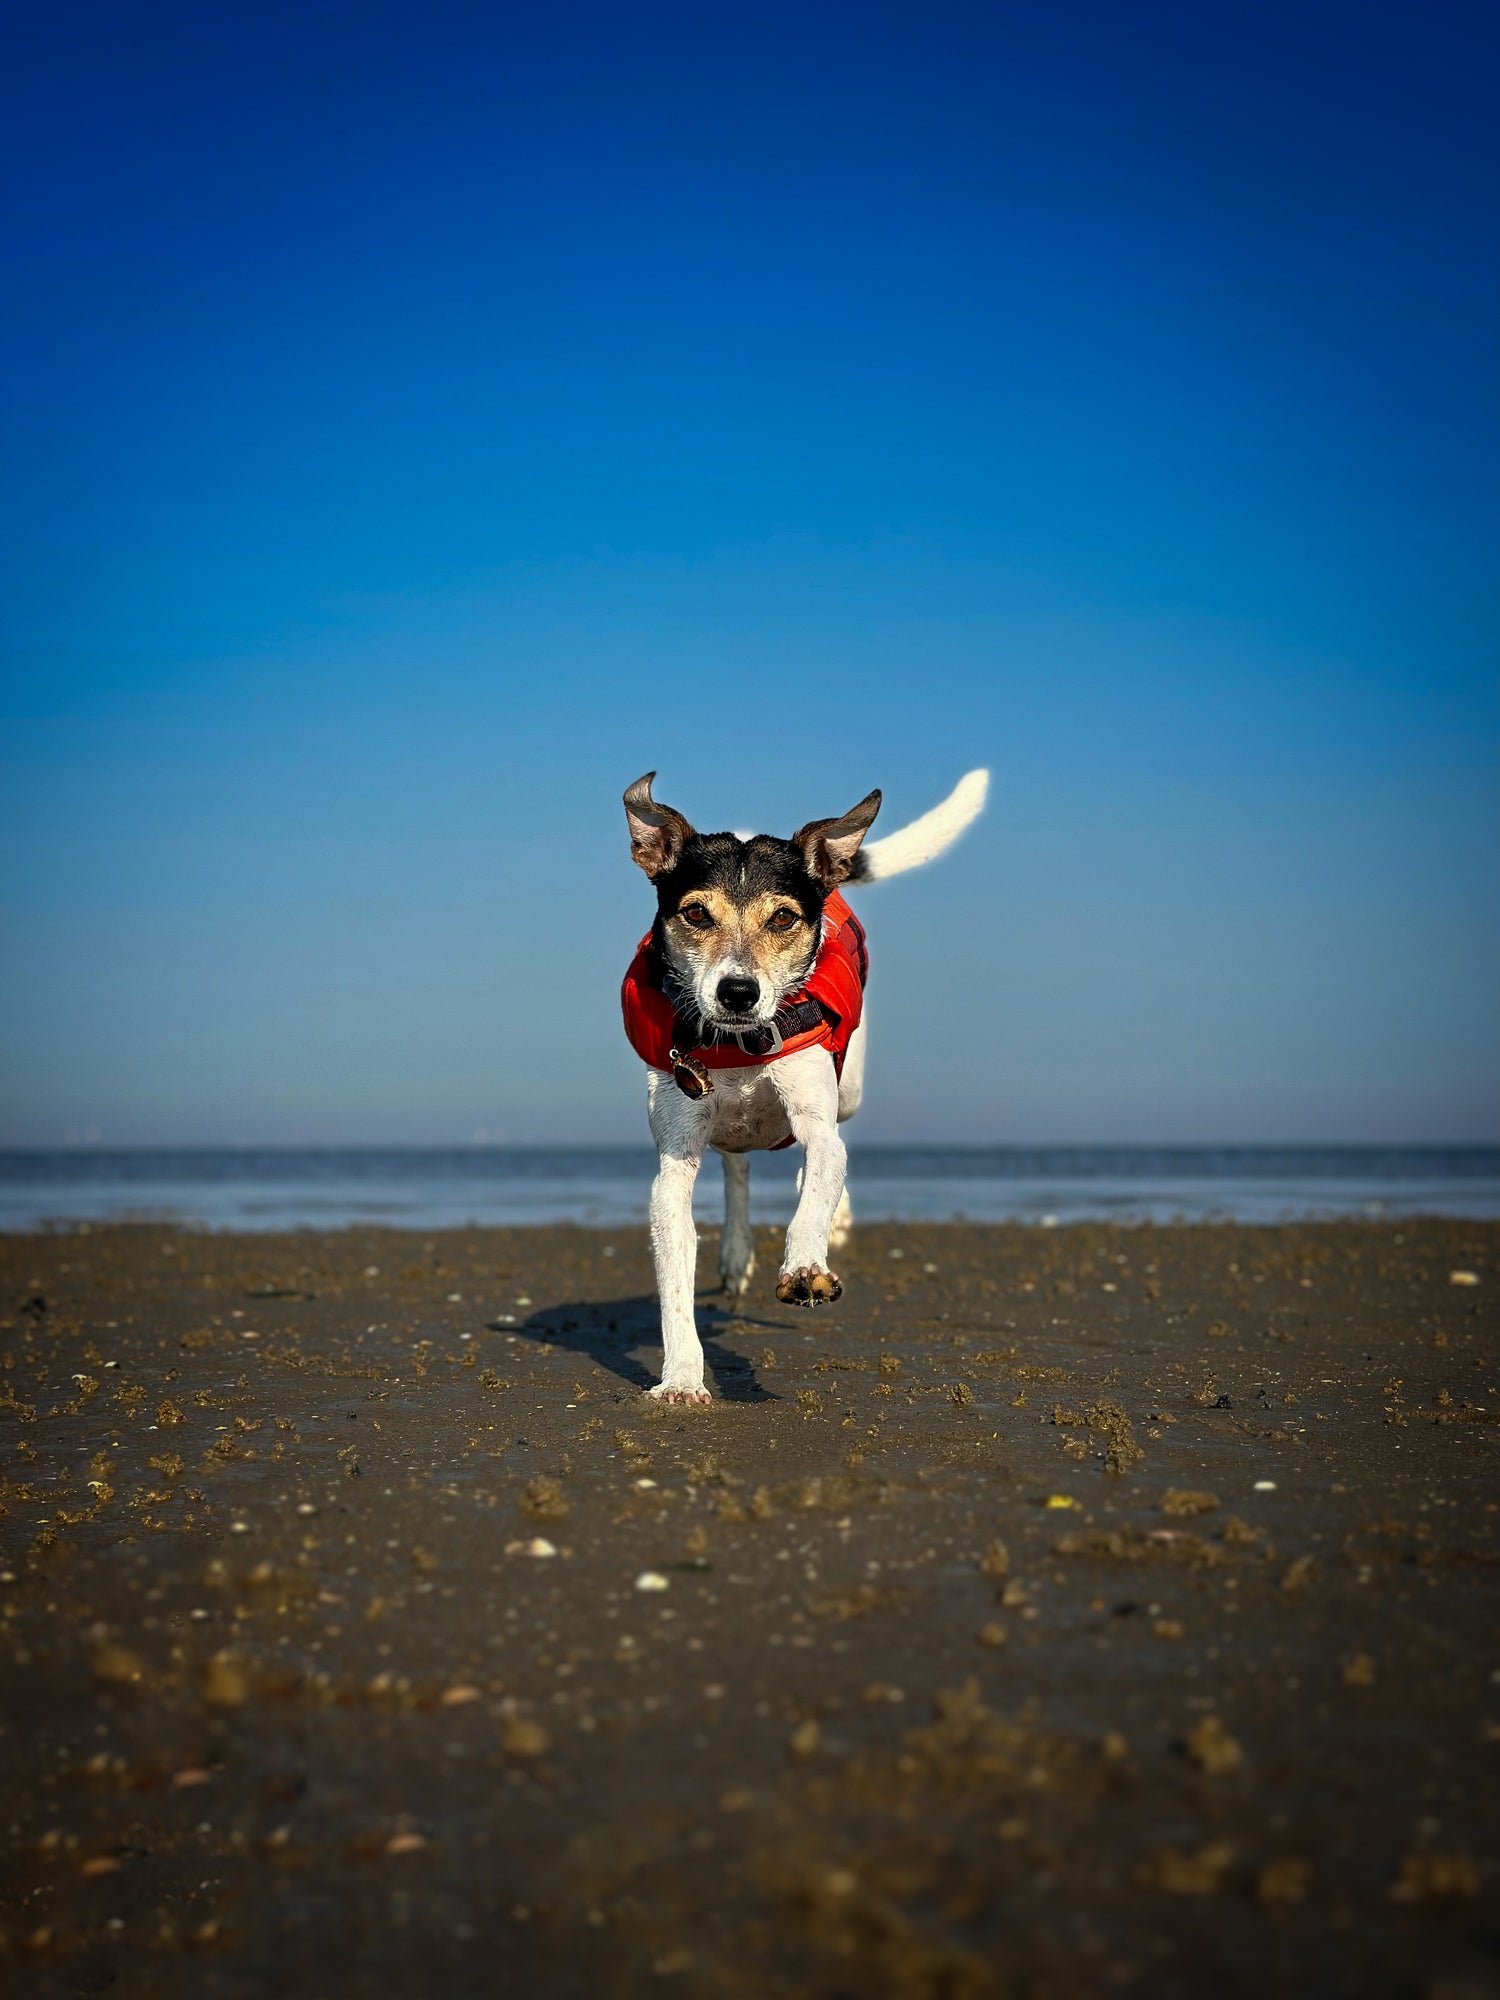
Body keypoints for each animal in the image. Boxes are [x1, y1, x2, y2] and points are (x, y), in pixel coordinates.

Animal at [624, 764, 988, 1408]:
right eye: (696, 914)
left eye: (783, 918)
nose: (738, 992)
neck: (739, 1047)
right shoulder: (674, 1161)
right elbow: (675, 1282)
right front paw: (682, 1377)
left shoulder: (815, 1116)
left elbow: (816, 1182)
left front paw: (804, 1265)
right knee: (736, 1163)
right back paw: (737, 1249)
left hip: (850, 1090)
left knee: (829, 1153)